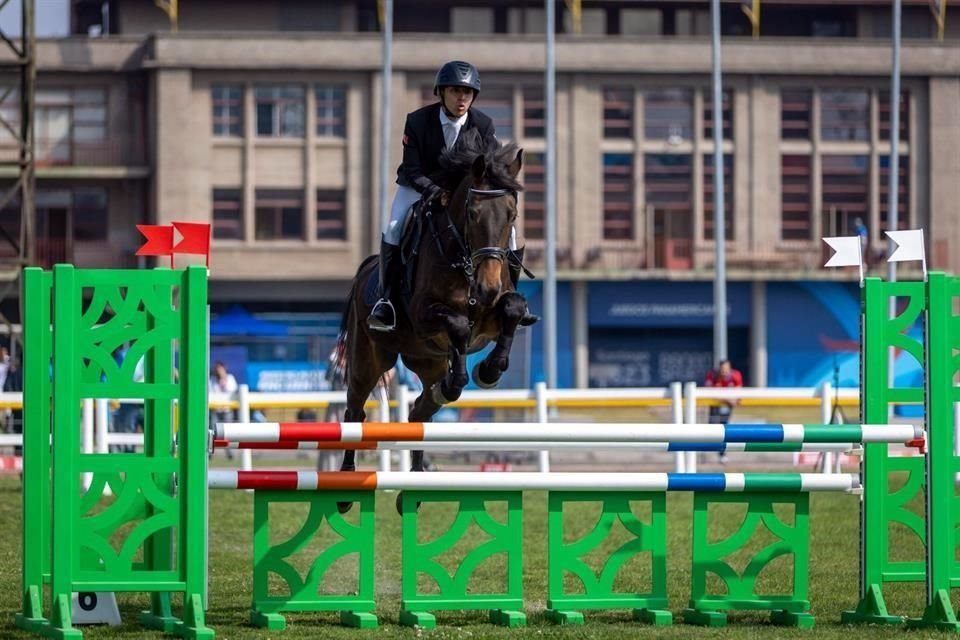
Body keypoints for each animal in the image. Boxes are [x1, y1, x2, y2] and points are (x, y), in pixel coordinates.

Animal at [328, 131, 524, 516]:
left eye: (511, 214)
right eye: (473, 214)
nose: (487, 288)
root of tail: (367, 269)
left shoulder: (494, 314)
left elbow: (513, 308)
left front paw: (489, 371)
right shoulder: (425, 316)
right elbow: (460, 325)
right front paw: (471, 373)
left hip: (426, 359)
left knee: (422, 410)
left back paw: (414, 486)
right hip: (370, 359)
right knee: (355, 410)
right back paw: (344, 491)